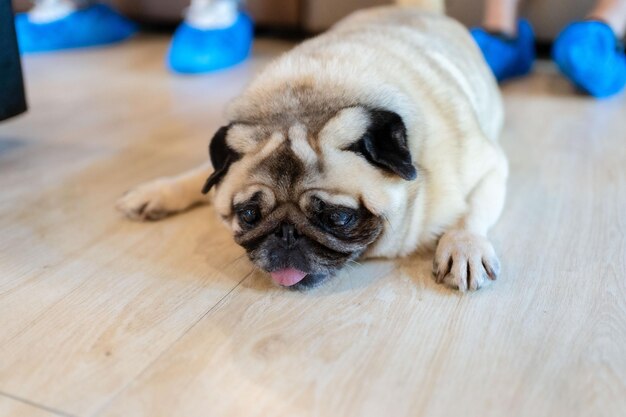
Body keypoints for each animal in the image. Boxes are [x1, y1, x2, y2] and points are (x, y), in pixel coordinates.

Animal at [116, 2, 508, 292]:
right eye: (248, 215)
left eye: (338, 218)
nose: (286, 233)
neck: (308, 101)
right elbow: (200, 175)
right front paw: (159, 191)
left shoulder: (490, 165)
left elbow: (471, 213)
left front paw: (464, 246)